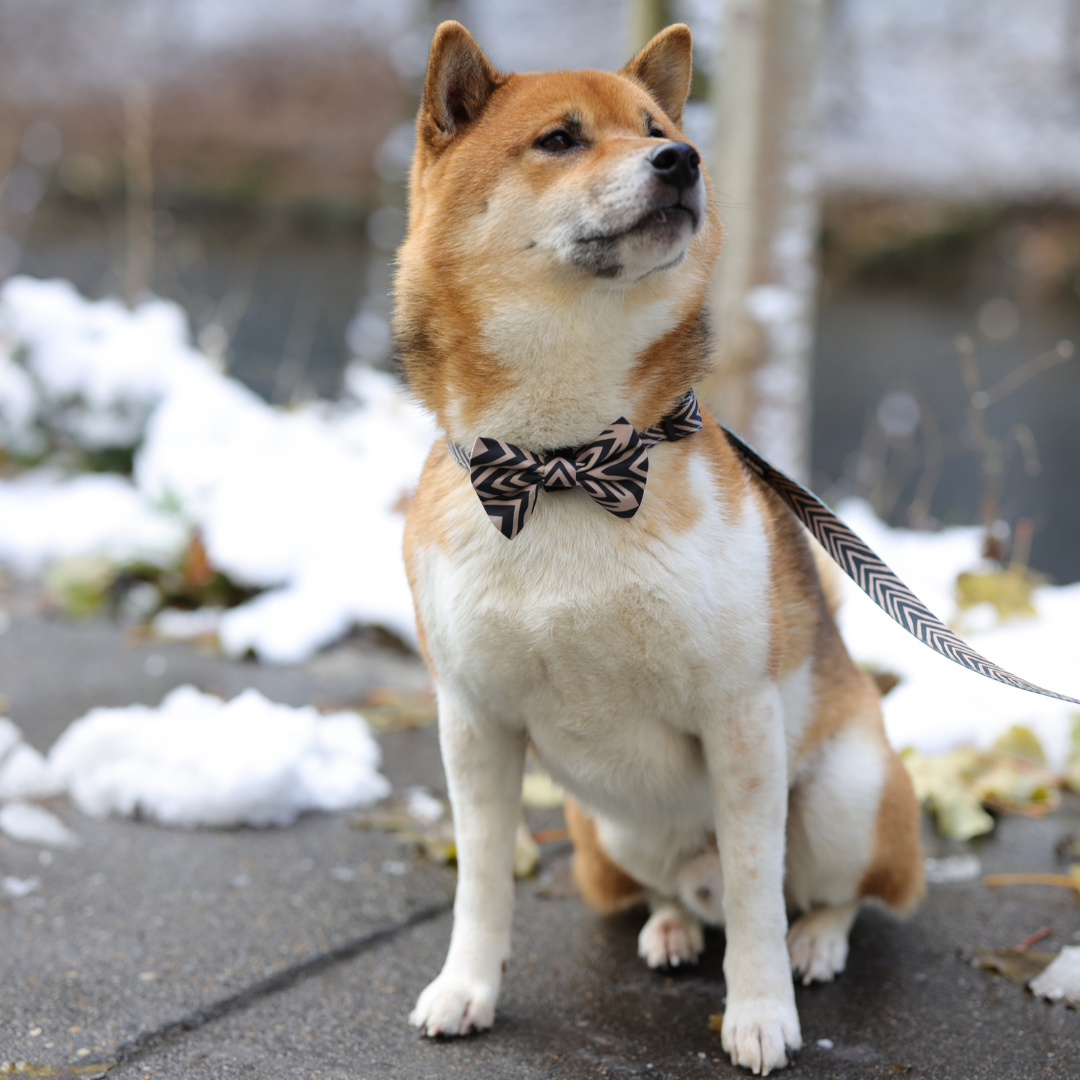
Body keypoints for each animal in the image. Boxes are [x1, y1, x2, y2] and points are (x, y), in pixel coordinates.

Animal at [401, 21, 924, 1075]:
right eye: (560, 139)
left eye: (657, 129)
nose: (683, 161)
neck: (565, 463)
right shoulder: (473, 720)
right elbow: (482, 878)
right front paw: (466, 988)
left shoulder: (740, 718)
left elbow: (760, 896)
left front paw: (760, 1014)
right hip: (613, 831)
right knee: (677, 890)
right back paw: (673, 926)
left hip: (845, 794)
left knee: (830, 894)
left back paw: (816, 942)